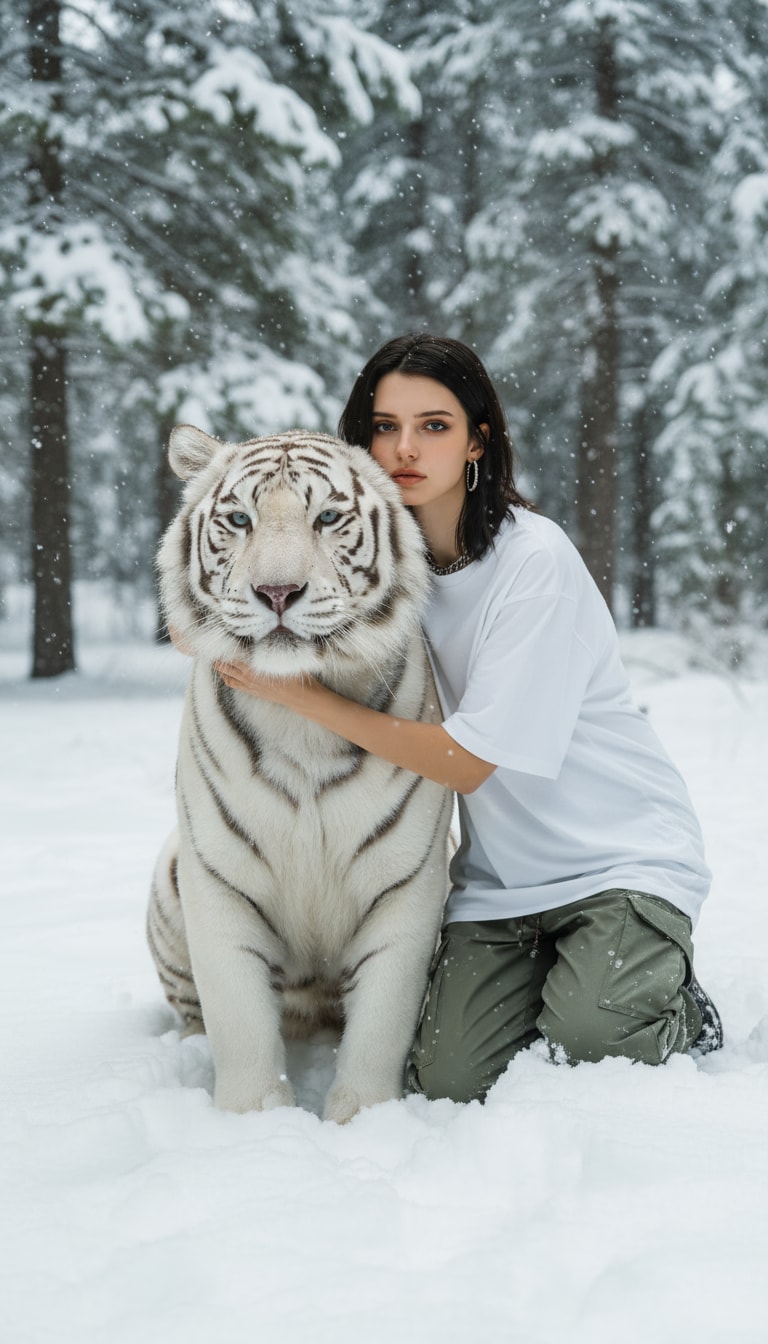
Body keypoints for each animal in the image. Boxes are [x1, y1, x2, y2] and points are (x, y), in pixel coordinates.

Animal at [148, 425, 452, 1123]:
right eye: (240, 519)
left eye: (328, 518)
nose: (278, 593)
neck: (301, 716)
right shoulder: (220, 879)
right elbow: (239, 1022)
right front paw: (253, 1122)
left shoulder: (406, 883)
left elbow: (380, 1026)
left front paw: (363, 1120)